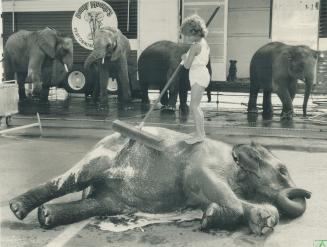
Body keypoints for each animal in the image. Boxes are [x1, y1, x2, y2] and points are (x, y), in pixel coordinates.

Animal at [9, 128, 312, 234]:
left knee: (99, 204)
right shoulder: (200, 163)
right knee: (73, 178)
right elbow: (214, 187)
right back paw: (17, 208)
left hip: (115, 200)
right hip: (103, 155)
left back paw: (47, 216)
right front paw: (209, 219)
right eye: (282, 170)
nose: (307, 193)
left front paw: (264, 220)